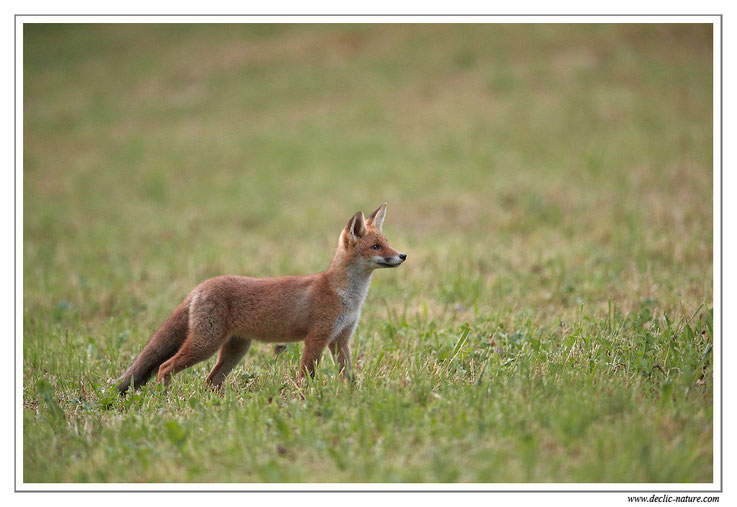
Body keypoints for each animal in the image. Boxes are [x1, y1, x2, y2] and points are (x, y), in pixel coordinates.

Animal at [115, 204, 406, 394]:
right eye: (376, 247)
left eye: (386, 242)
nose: (402, 255)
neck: (346, 295)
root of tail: (200, 286)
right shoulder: (317, 337)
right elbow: (307, 374)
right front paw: (305, 399)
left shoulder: (341, 339)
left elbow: (348, 375)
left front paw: (351, 396)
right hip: (206, 344)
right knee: (165, 367)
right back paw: (165, 399)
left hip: (235, 350)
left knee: (210, 381)